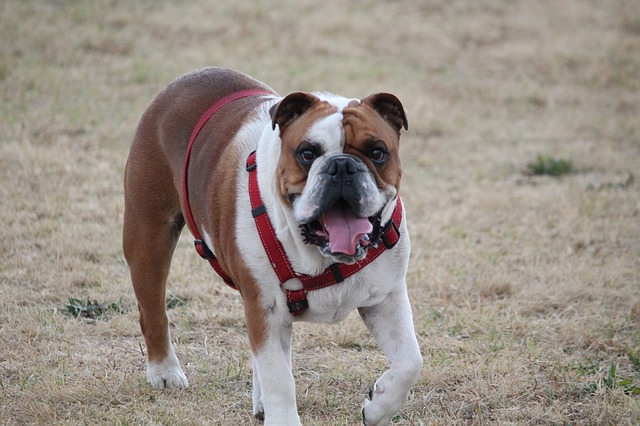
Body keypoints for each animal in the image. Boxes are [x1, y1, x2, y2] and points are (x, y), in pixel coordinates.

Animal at [122, 68, 422, 424]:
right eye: (307, 153)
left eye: (377, 152)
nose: (342, 166)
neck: (320, 256)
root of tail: (186, 80)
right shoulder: (266, 308)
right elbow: (279, 378)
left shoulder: (385, 298)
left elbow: (410, 361)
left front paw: (378, 407)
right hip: (148, 237)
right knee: (152, 311)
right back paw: (164, 372)